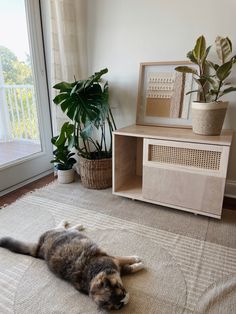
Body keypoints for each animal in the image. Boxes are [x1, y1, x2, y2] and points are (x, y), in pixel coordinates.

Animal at [0, 221, 144, 312]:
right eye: (120, 304)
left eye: (121, 290)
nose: (126, 298)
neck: (91, 274)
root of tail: (39, 248)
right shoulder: (115, 261)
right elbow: (128, 266)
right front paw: (139, 263)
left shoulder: (113, 260)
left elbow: (127, 260)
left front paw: (136, 259)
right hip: (59, 232)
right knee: (63, 227)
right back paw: (75, 225)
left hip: (60, 232)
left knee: (62, 226)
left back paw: (73, 224)